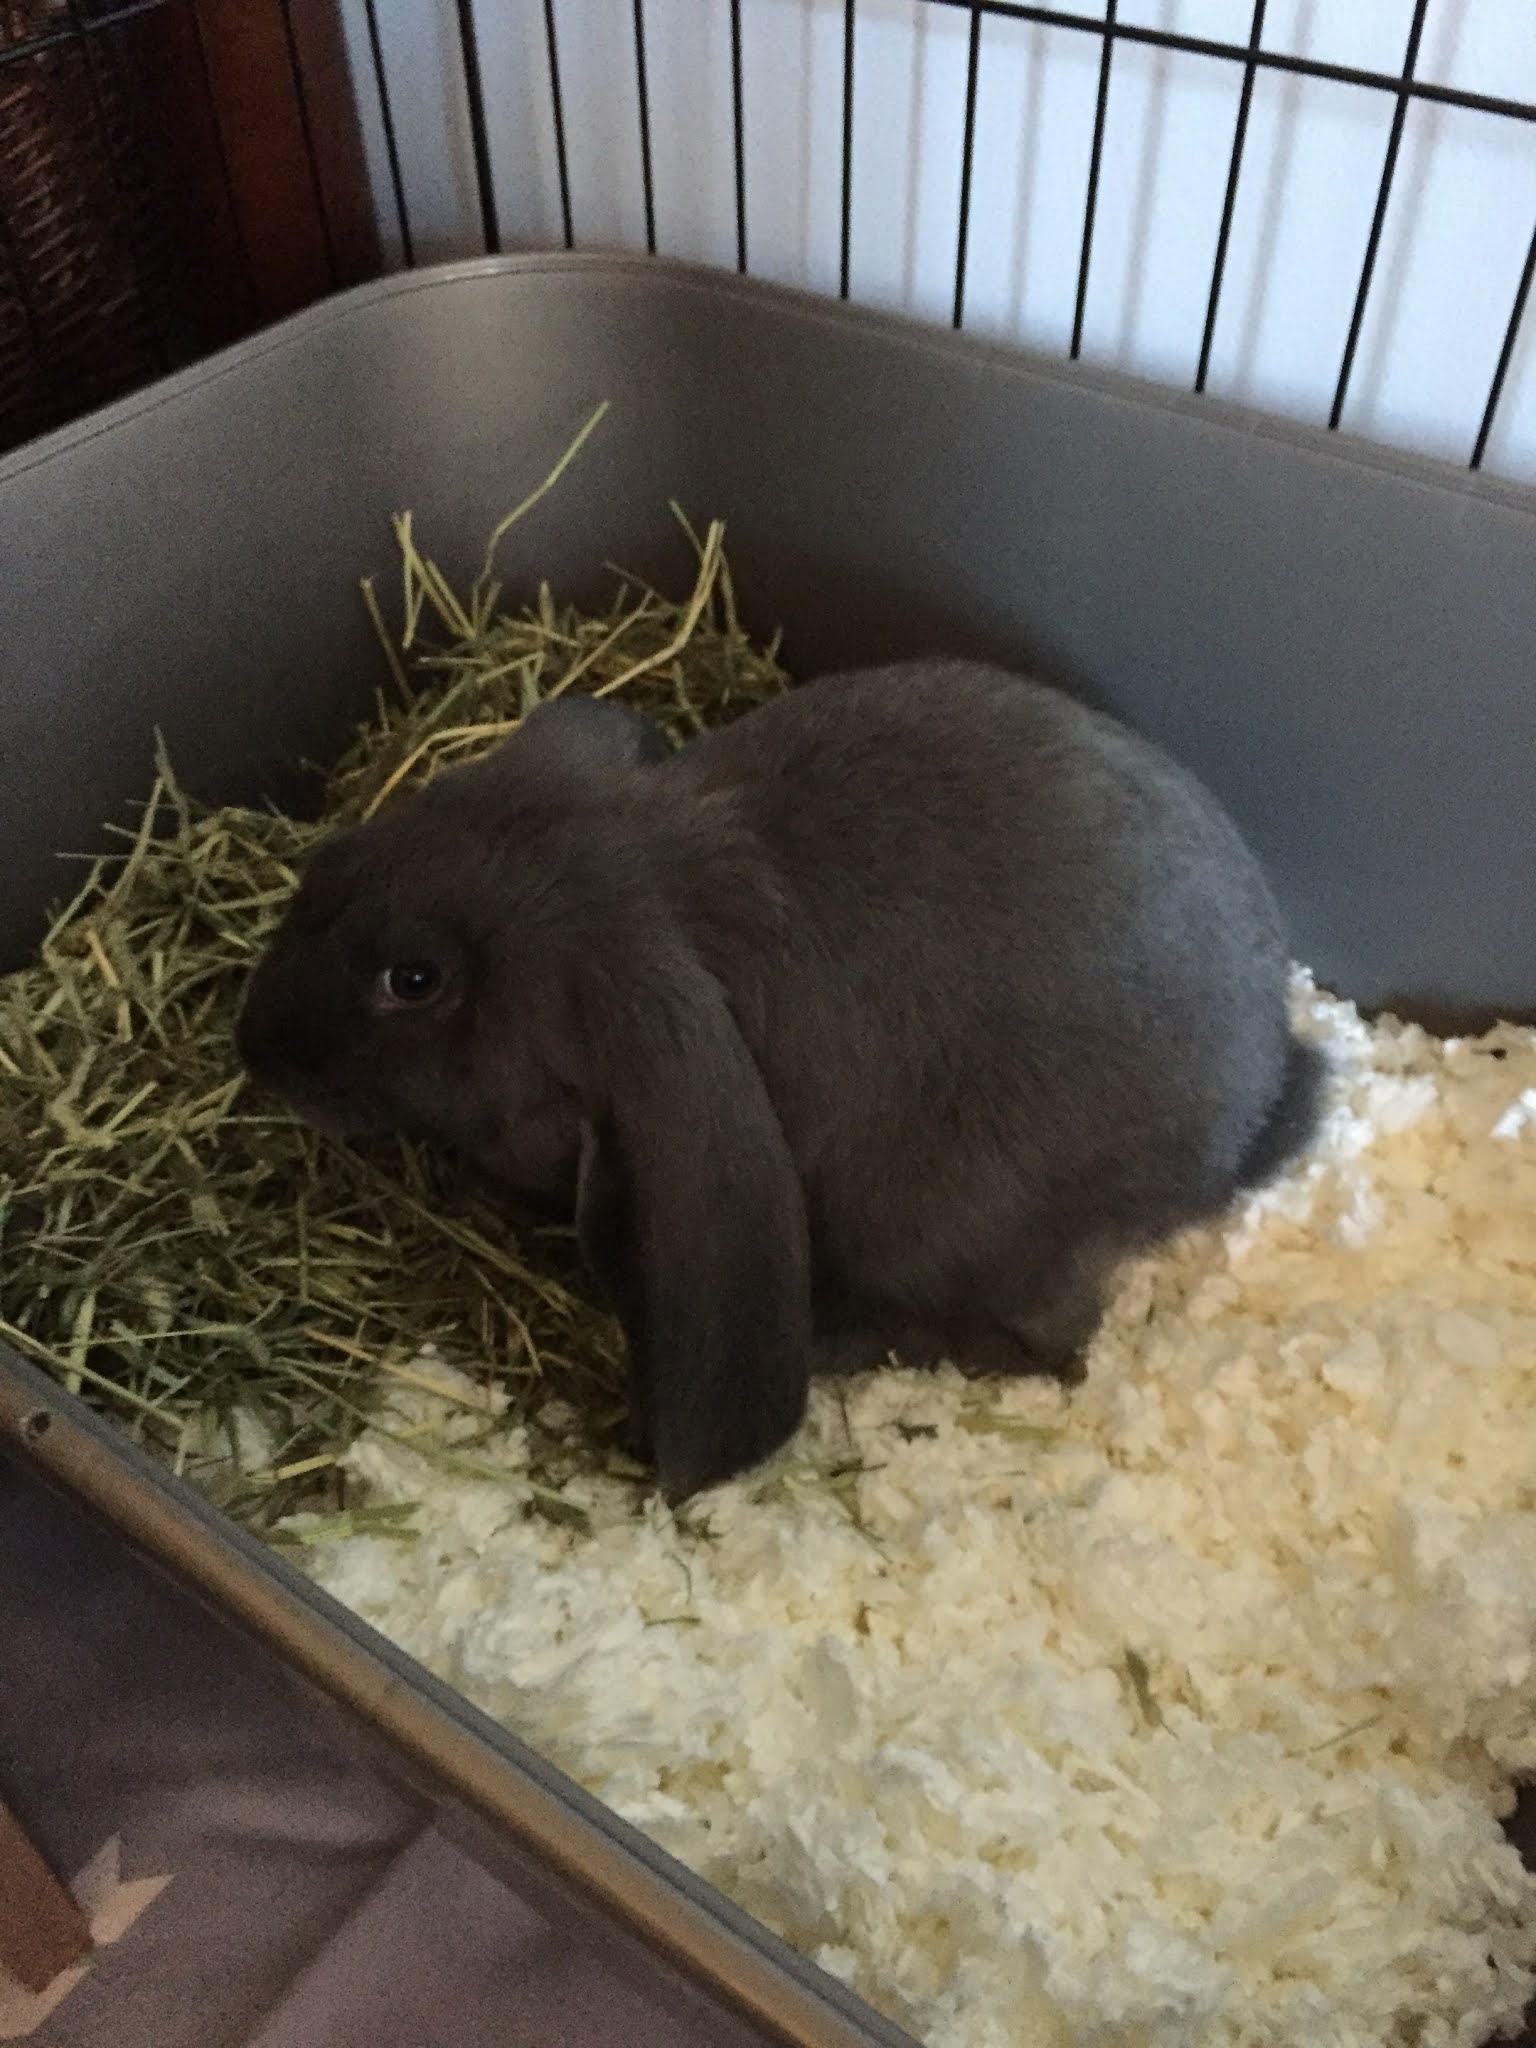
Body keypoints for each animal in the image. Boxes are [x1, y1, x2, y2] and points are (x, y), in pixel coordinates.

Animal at [236, 660, 1324, 1501]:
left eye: (413, 979)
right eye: (337, 855)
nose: (253, 1047)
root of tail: (1255, 1112)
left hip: (953, 1226)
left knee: (1050, 1344)